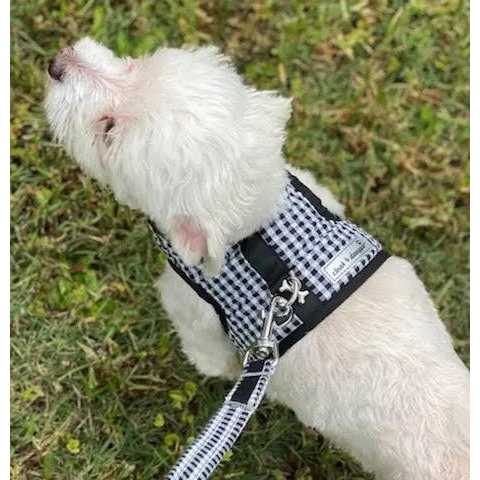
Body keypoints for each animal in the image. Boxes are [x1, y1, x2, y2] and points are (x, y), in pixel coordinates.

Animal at [45, 37, 469, 479]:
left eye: (107, 129)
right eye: (136, 64)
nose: (57, 62)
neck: (256, 234)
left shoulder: (193, 311)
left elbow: (211, 359)